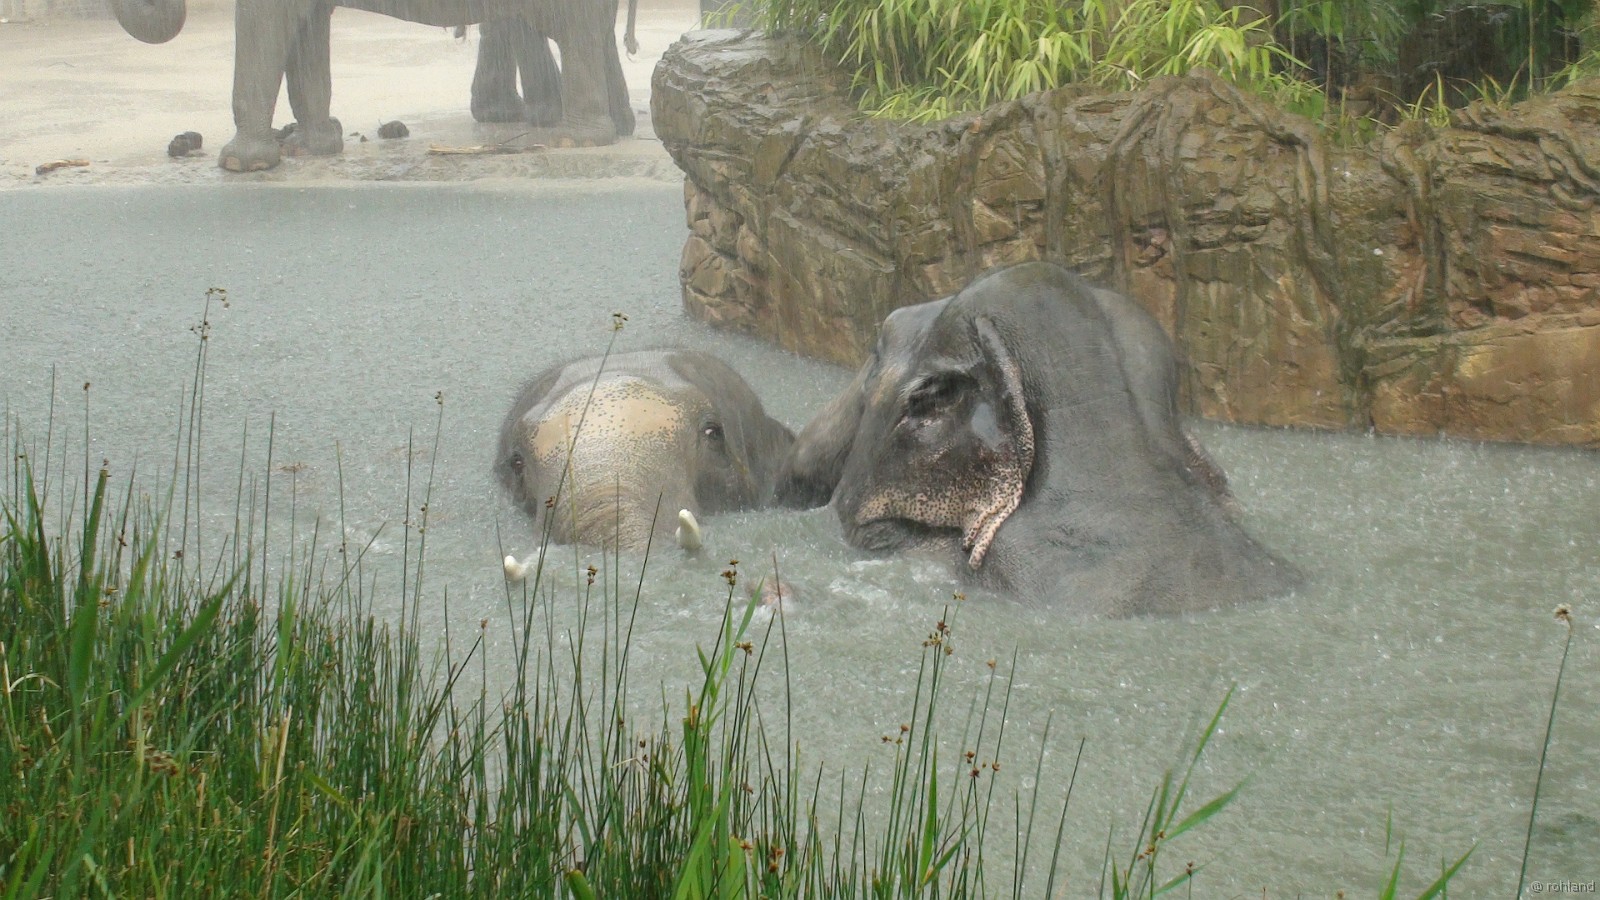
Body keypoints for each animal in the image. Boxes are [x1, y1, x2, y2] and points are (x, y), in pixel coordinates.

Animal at [108, 0, 635, 172]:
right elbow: (307, 33)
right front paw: (311, 146)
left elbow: (264, 26)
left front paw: (239, 164)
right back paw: (619, 127)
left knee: (576, 30)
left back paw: (573, 139)